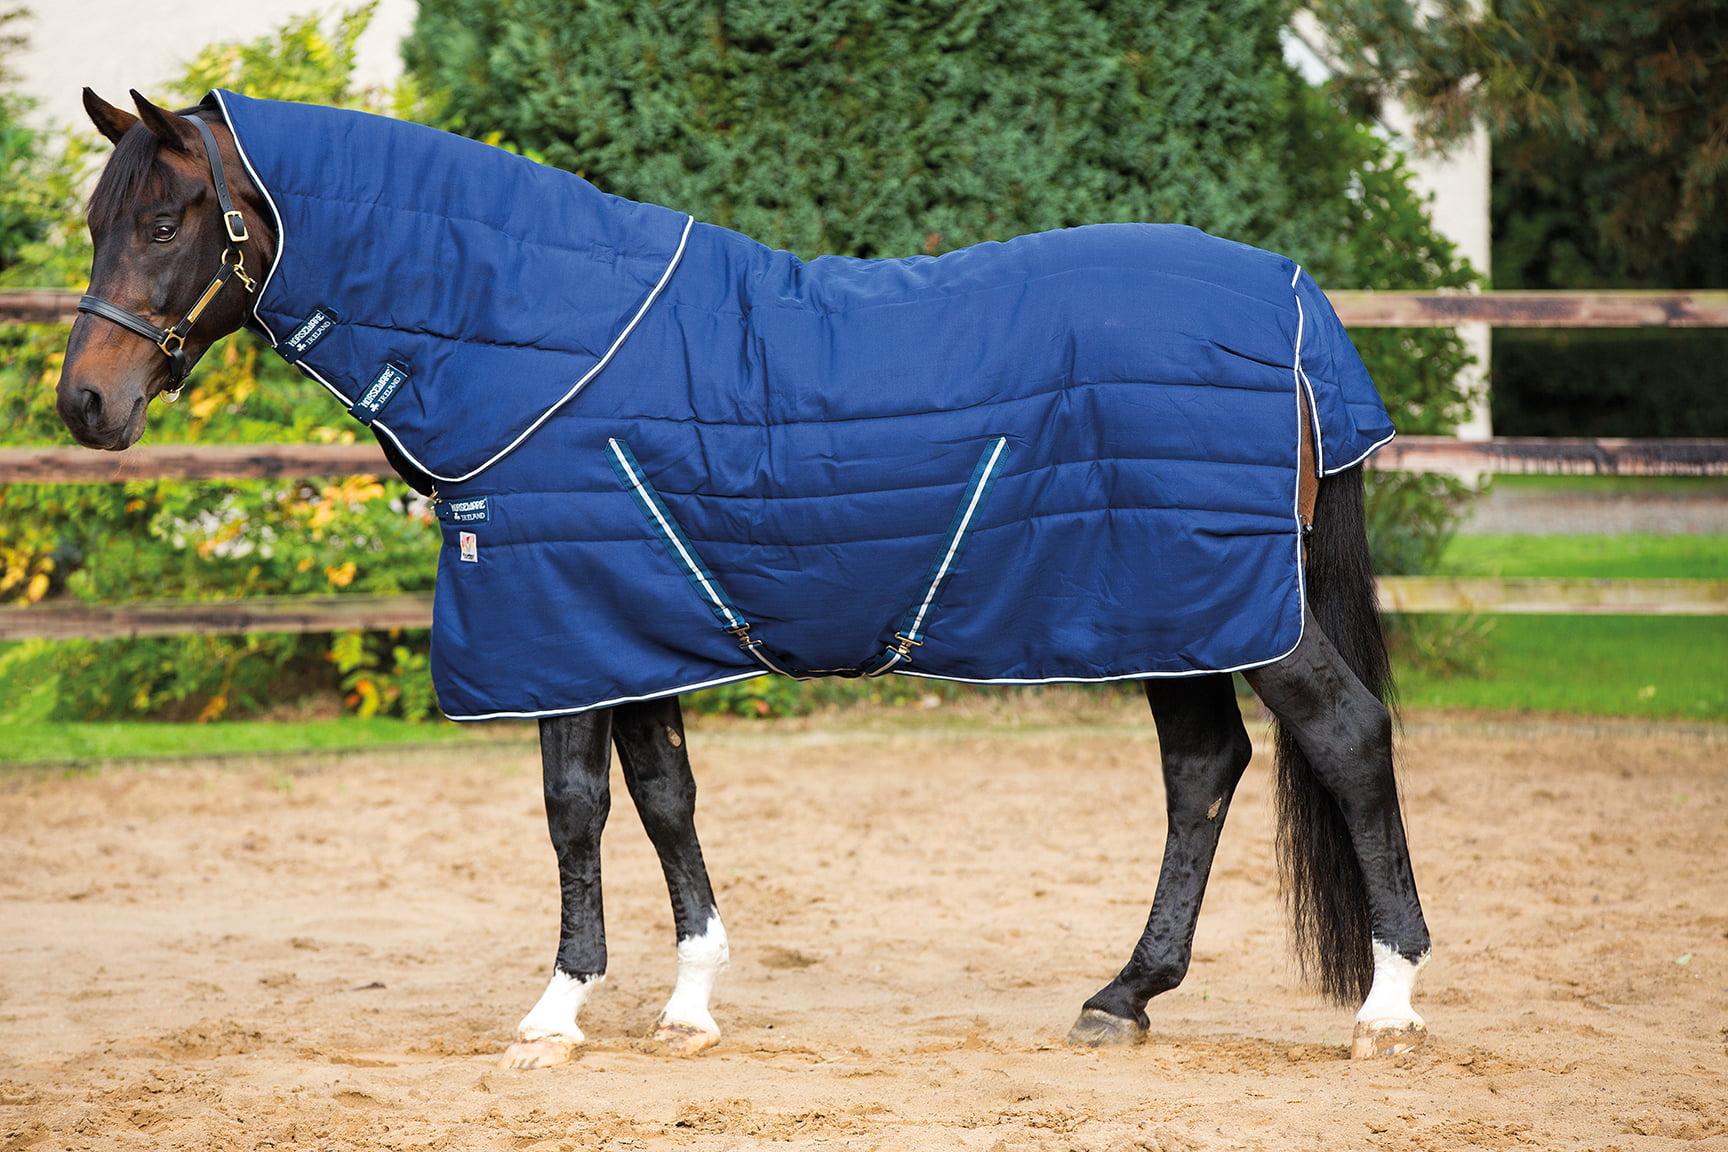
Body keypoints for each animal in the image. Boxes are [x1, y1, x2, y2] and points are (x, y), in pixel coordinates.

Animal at [57, 88, 1431, 1070]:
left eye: (166, 223)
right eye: (94, 224)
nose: (86, 405)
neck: (537, 336)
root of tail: (1297, 306)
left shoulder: (558, 623)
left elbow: (574, 808)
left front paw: (557, 1011)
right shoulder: (627, 623)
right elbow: (665, 799)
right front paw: (690, 1003)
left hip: (1231, 607)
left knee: (1348, 737)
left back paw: (1390, 1003)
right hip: (1168, 609)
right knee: (1204, 772)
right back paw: (1123, 997)